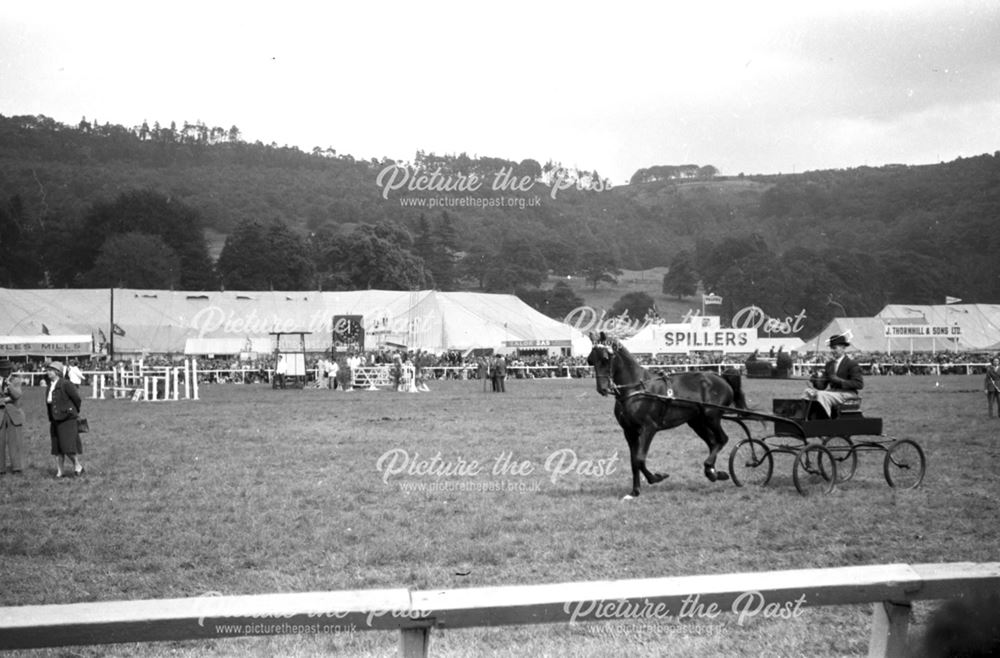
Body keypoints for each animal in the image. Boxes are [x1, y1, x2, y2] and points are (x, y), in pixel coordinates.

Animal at [584, 334, 744, 498]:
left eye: (605, 358)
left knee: (722, 439)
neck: (637, 390)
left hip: (711, 417)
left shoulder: (649, 428)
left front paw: (656, 477)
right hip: (697, 422)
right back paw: (714, 473)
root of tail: (721, 377)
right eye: (590, 360)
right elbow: (633, 461)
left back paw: (712, 469)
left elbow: (640, 459)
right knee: (713, 442)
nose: (602, 389)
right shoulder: (629, 431)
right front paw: (635, 491)